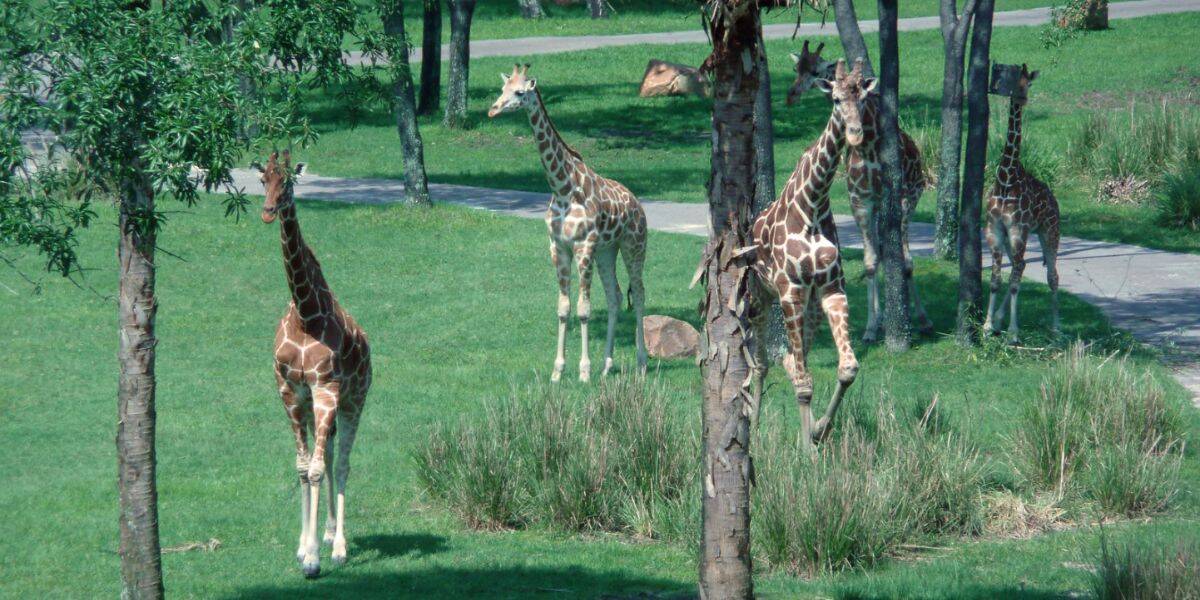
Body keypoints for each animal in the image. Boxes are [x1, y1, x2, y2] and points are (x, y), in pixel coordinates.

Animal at [254, 150, 372, 578]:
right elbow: (304, 468)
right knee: (328, 455)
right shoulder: (290, 391)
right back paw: (322, 535)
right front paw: (304, 547)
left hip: (354, 400)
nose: (269, 212)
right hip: (311, 405)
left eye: (288, 181)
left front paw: (316, 560)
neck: (306, 315)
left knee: (342, 463)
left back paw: (338, 546)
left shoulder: (327, 388)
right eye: (264, 180)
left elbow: (321, 468)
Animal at [488, 63, 648, 383]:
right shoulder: (558, 246)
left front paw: (583, 372)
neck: (562, 187)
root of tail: (639, 205)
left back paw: (641, 363)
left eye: (520, 92)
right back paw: (607, 366)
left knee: (639, 294)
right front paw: (558, 371)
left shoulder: (583, 245)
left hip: (633, 246)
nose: (493, 110)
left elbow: (584, 310)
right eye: (502, 89)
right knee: (614, 297)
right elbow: (563, 308)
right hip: (607, 251)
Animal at [751, 58, 862, 449]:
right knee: (761, 363)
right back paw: (751, 429)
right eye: (836, 99)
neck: (813, 203)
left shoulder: (831, 289)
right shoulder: (791, 291)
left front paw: (818, 431)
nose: (856, 133)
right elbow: (803, 381)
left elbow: (847, 368)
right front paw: (806, 452)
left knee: (785, 360)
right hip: (759, 297)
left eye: (863, 98)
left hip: (810, 307)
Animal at [788, 45, 934, 343]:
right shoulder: (861, 201)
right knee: (879, 252)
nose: (793, 93)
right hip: (877, 207)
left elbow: (906, 261)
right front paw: (870, 327)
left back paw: (917, 318)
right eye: (798, 69)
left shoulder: (903, 198)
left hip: (914, 193)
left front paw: (921, 319)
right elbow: (870, 262)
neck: (868, 148)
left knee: (900, 256)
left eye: (816, 70)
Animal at [984, 64, 1060, 344]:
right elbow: (996, 279)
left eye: (1029, 84)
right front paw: (987, 326)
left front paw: (1013, 333)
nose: (1022, 100)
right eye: (1017, 83)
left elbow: (1014, 282)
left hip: (1049, 231)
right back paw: (998, 319)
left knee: (1052, 275)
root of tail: (1054, 199)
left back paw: (1056, 327)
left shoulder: (1018, 229)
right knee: (1021, 266)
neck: (1006, 178)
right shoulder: (995, 230)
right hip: (1017, 236)